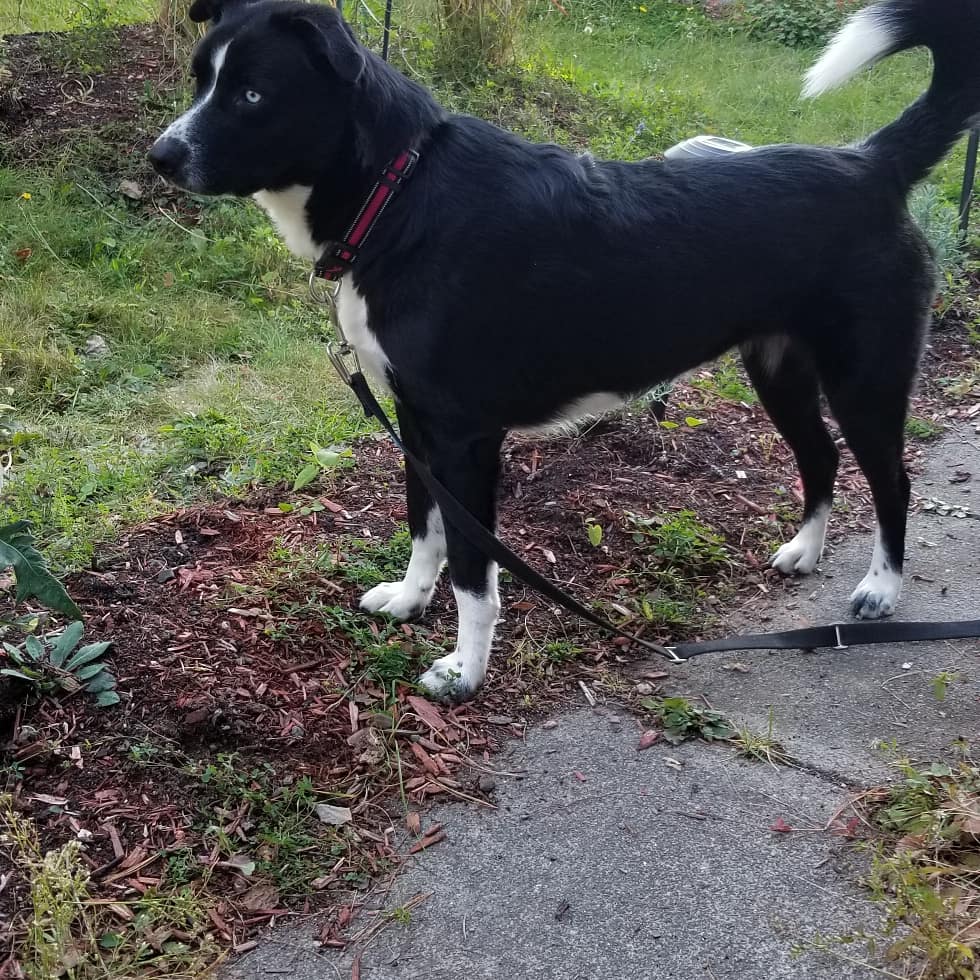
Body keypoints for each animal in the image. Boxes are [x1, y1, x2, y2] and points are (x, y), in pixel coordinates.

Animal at [150, 0, 980, 700]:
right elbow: (424, 528)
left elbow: (473, 571)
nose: (160, 156)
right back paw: (805, 551)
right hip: (778, 368)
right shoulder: (416, 422)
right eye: (201, 80)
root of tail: (870, 163)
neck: (400, 195)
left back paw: (881, 588)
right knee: (821, 456)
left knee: (891, 479)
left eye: (252, 95)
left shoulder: (464, 439)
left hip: (866, 380)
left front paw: (464, 671)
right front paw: (410, 599)